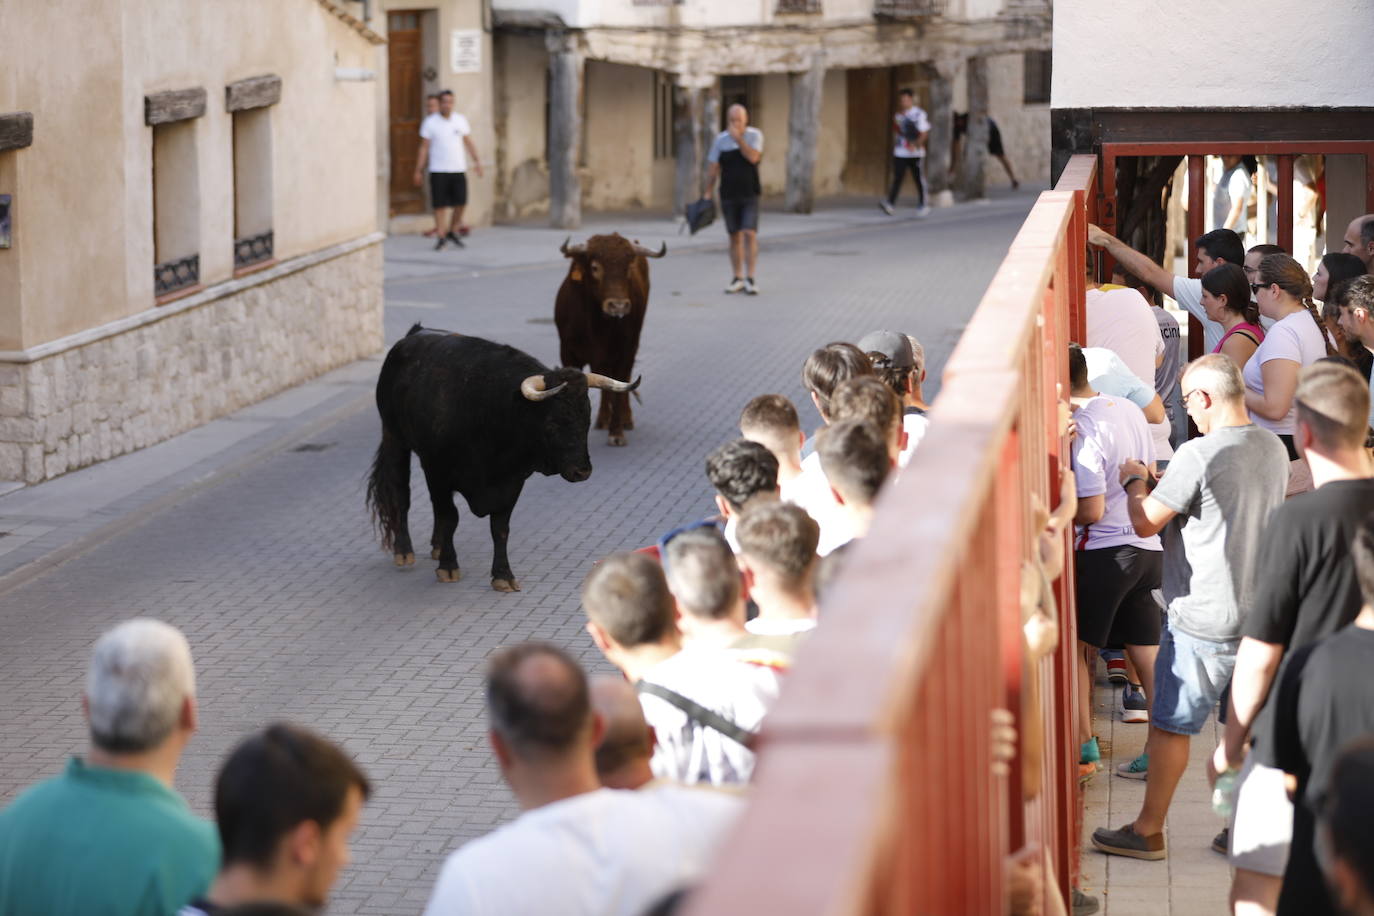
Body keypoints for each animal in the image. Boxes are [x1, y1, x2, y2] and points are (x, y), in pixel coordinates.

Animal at [368, 325, 640, 590]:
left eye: (586, 420)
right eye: (552, 424)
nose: (582, 471)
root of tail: (414, 335)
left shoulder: (511, 481)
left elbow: (499, 527)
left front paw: (502, 575)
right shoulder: (439, 471)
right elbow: (450, 518)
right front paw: (448, 566)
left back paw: (436, 547)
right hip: (395, 439)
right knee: (401, 494)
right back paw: (404, 551)